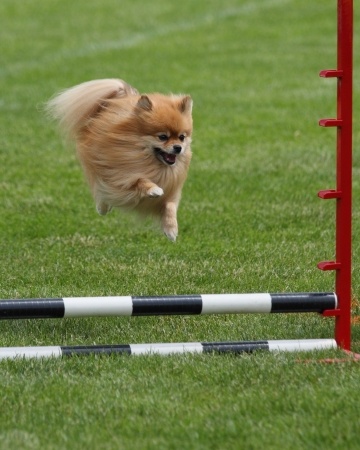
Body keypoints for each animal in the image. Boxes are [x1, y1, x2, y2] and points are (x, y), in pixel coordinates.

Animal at [47, 79, 194, 241]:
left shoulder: (172, 191)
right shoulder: (121, 175)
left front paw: (171, 229)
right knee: (101, 192)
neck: (154, 166)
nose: (178, 147)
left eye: (182, 137)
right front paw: (153, 189)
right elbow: (139, 180)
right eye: (162, 137)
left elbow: (170, 206)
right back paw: (102, 208)